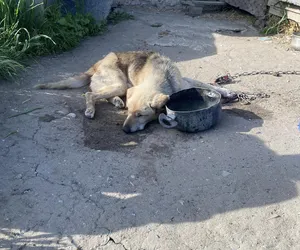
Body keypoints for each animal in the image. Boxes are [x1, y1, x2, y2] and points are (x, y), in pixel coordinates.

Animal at [34, 50, 237, 133]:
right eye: (129, 113)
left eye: (140, 115)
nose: (124, 130)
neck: (163, 76)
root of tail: (96, 65)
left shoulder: (185, 82)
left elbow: (209, 85)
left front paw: (227, 92)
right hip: (120, 83)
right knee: (91, 93)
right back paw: (92, 109)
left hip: (120, 85)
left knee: (100, 94)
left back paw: (116, 100)